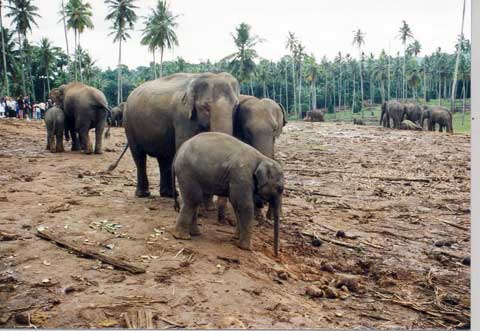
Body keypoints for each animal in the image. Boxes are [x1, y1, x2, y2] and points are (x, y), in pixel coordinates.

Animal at [111, 72, 242, 200]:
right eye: (205, 106)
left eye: (235, 106)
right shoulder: (182, 116)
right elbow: (183, 144)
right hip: (129, 124)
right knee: (139, 157)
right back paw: (143, 194)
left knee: (164, 159)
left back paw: (168, 194)